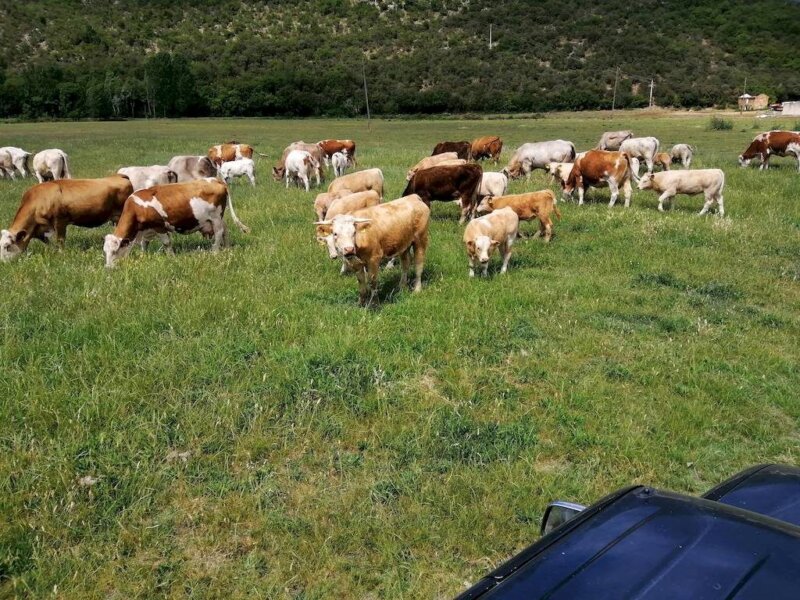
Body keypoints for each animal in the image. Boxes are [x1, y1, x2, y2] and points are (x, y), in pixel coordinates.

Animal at [0, 175, 133, 261]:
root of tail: (119, 176)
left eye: (7, 246)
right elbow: (47, 241)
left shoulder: (60, 221)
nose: (3, 263)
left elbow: (60, 240)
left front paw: (61, 254)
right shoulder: (38, 229)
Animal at [102, 179, 250, 268]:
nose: (108, 268)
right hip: (218, 218)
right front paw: (144, 255)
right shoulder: (148, 229)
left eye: (114, 251)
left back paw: (215, 251)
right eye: (105, 252)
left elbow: (166, 243)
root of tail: (215, 179)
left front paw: (171, 257)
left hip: (215, 217)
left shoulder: (159, 226)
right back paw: (227, 248)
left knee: (219, 233)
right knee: (226, 230)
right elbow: (145, 242)